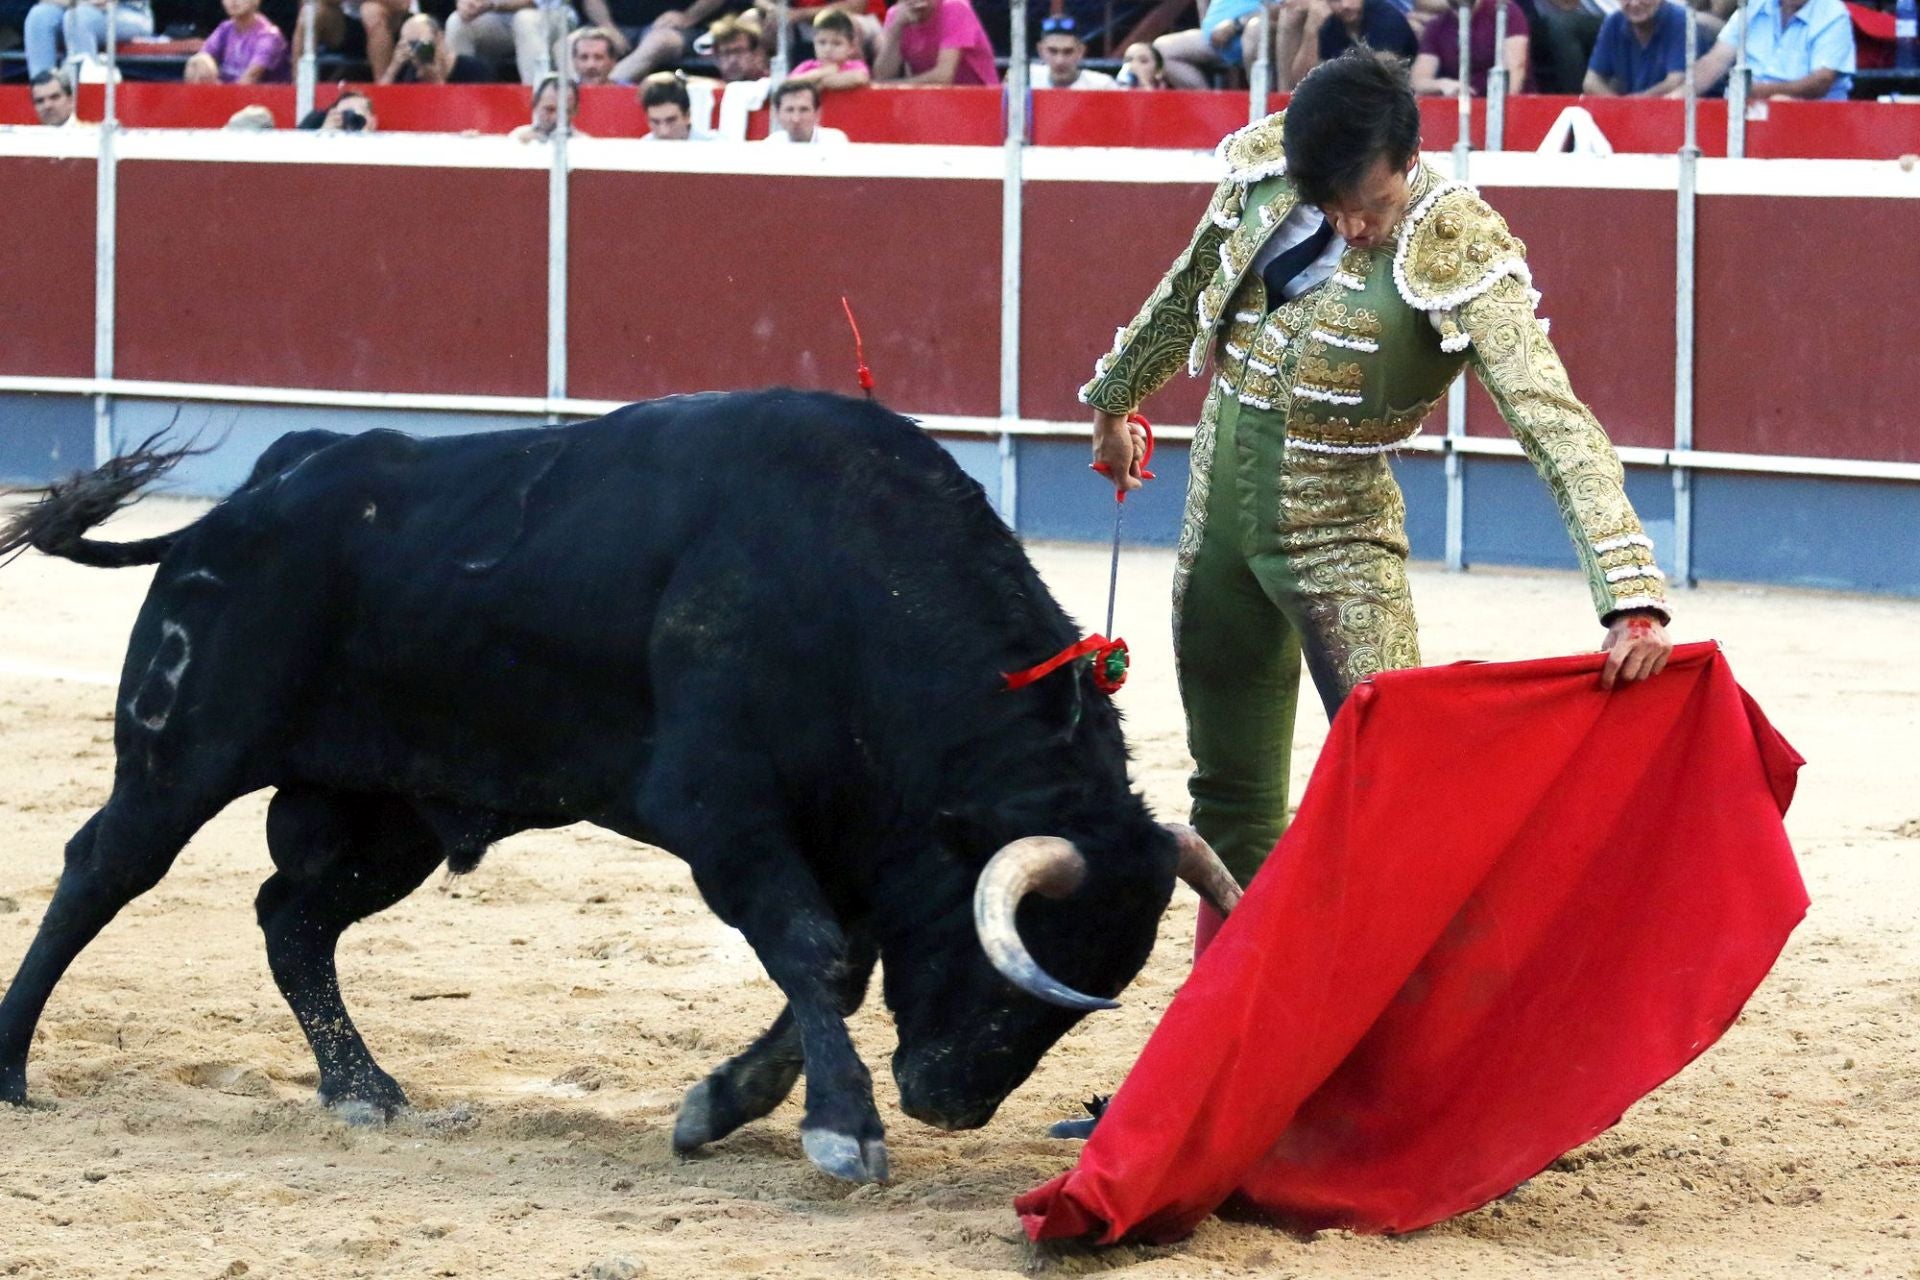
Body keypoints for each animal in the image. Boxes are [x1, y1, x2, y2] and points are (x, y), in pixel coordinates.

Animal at [0, 387, 1236, 1182]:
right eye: (1017, 956)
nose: (949, 1099)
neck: (853, 586)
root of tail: (255, 491)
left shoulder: (844, 840)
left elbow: (834, 966)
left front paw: (722, 1106)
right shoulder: (721, 810)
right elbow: (816, 953)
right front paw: (844, 1129)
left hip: (388, 816)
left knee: (291, 917)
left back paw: (362, 1087)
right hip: (181, 754)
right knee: (98, 872)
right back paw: (12, 1067)